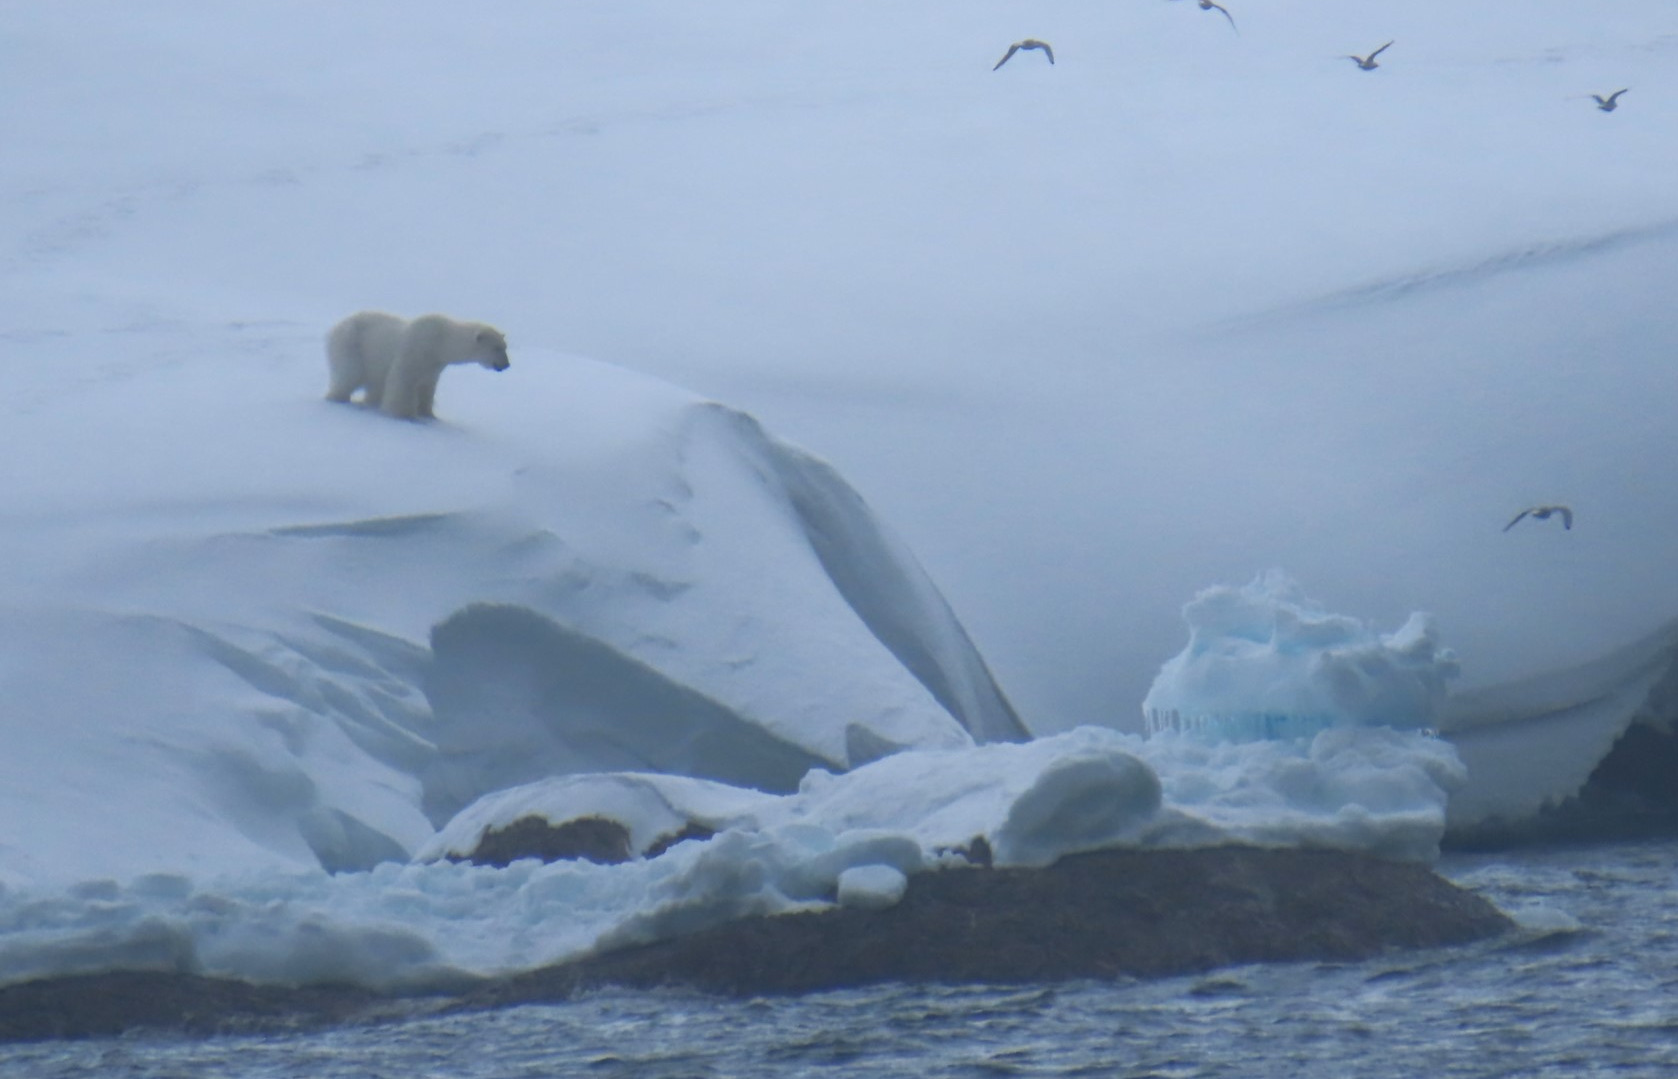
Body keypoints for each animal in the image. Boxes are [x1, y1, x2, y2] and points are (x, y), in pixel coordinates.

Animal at [325, 310, 510, 420]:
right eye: (496, 348)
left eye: (505, 346)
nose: (506, 364)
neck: (441, 342)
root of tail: (333, 329)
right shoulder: (415, 350)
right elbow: (403, 381)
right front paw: (404, 414)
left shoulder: (434, 365)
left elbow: (427, 387)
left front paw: (427, 414)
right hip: (351, 344)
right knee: (349, 374)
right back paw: (338, 397)